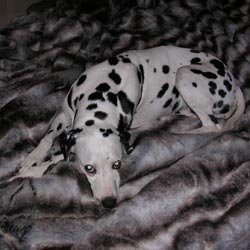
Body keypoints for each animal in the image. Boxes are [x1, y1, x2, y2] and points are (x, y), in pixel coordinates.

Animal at [11, 45, 244, 209]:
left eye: (117, 164)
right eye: (90, 168)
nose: (109, 202)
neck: (101, 90)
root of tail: (233, 82)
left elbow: (57, 158)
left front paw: (30, 172)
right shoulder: (64, 113)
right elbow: (48, 137)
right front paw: (32, 158)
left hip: (185, 75)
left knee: (211, 126)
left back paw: (178, 131)